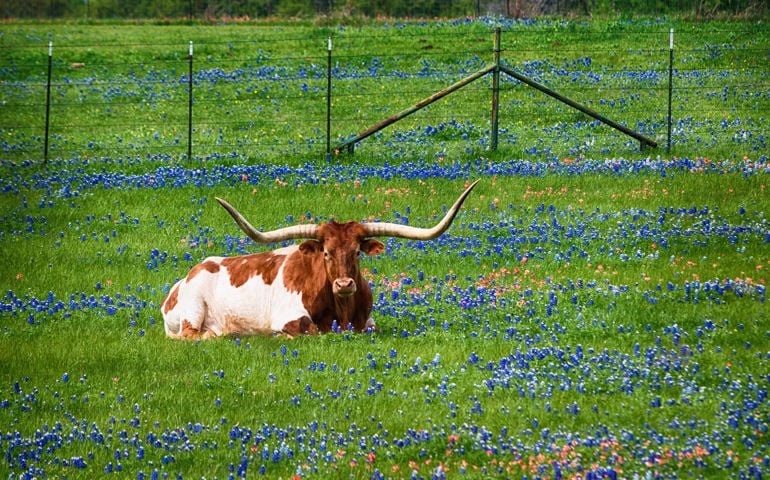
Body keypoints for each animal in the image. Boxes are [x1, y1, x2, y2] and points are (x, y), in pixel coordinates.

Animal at [161, 180, 479, 339]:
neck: (343, 312)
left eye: (357, 251)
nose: (344, 284)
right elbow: (309, 329)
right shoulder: (290, 317)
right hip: (193, 310)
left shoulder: (368, 322)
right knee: (192, 335)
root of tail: (186, 276)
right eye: (326, 252)